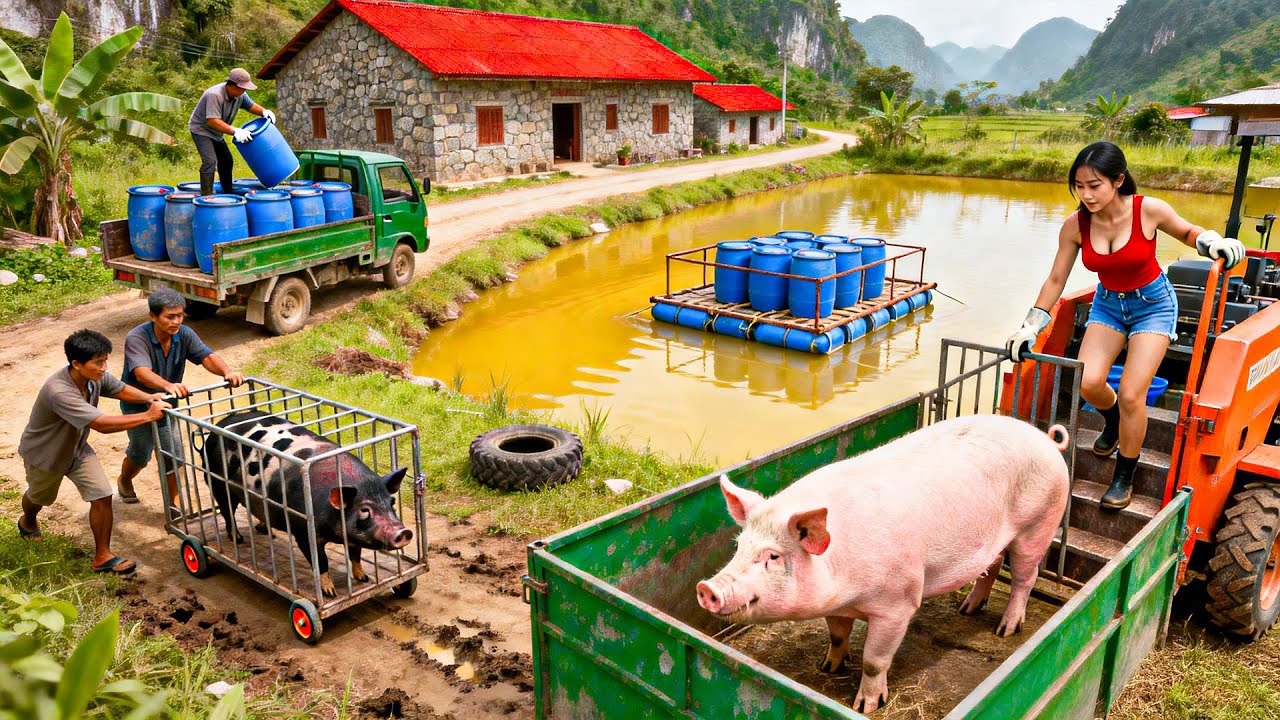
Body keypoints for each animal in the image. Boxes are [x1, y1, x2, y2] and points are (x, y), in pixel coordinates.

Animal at [202, 410, 413, 597]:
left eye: (392, 502)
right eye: (364, 510)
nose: (403, 531)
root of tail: (220, 424)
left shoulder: (352, 536)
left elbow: (355, 555)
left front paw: (364, 578)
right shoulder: (303, 531)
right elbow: (321, 562)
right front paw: (330, 593)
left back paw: (266, 531)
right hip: (217, 483)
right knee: (227, 512)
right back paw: (237, 539)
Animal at [695, 414, 1069, 713]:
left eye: (773, 557)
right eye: (739, 546)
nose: (706, 587)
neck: (845, 580)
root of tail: (1044, 438)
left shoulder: (898, 603)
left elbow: (874, 661)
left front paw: (866, 706)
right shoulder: (838, 606)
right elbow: (837, 636)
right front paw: (828, 667)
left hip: (1039, 524)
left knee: (1024, 578)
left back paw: (1006, 629)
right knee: (991, 567)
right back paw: (967, 609)